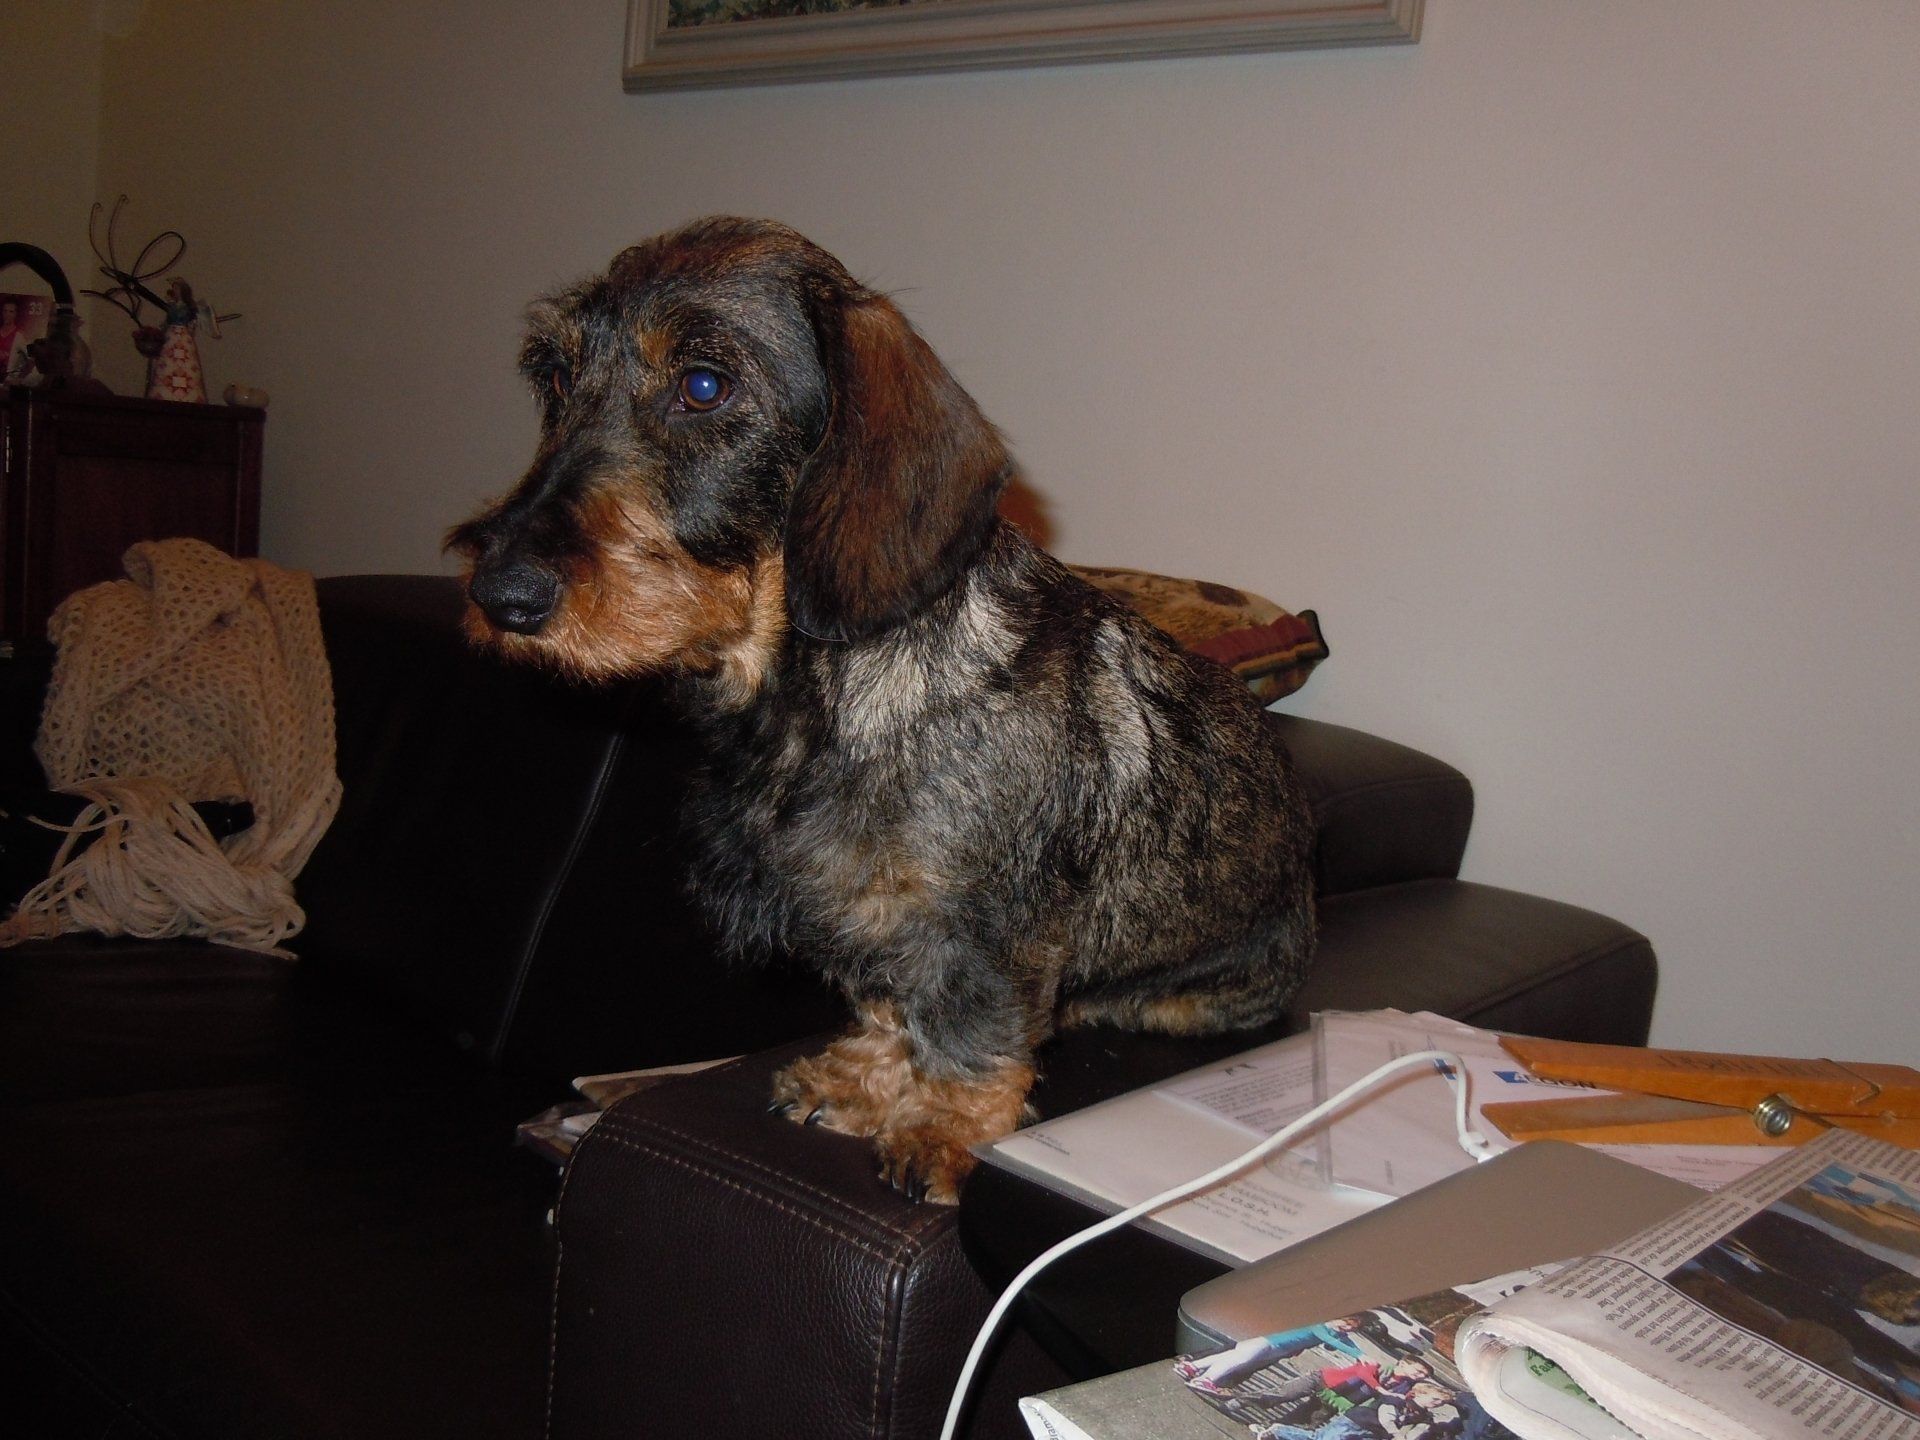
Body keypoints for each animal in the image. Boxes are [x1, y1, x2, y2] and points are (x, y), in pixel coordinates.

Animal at [449, 218, 1316, 1202]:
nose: (499, 595)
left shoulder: (983, 927)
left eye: (703, 385)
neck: (805, 703)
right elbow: (889, 1001)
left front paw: (943, 1127)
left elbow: (970, 1028)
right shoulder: (867, 912)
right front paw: (863, 1080)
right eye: (554, 377)